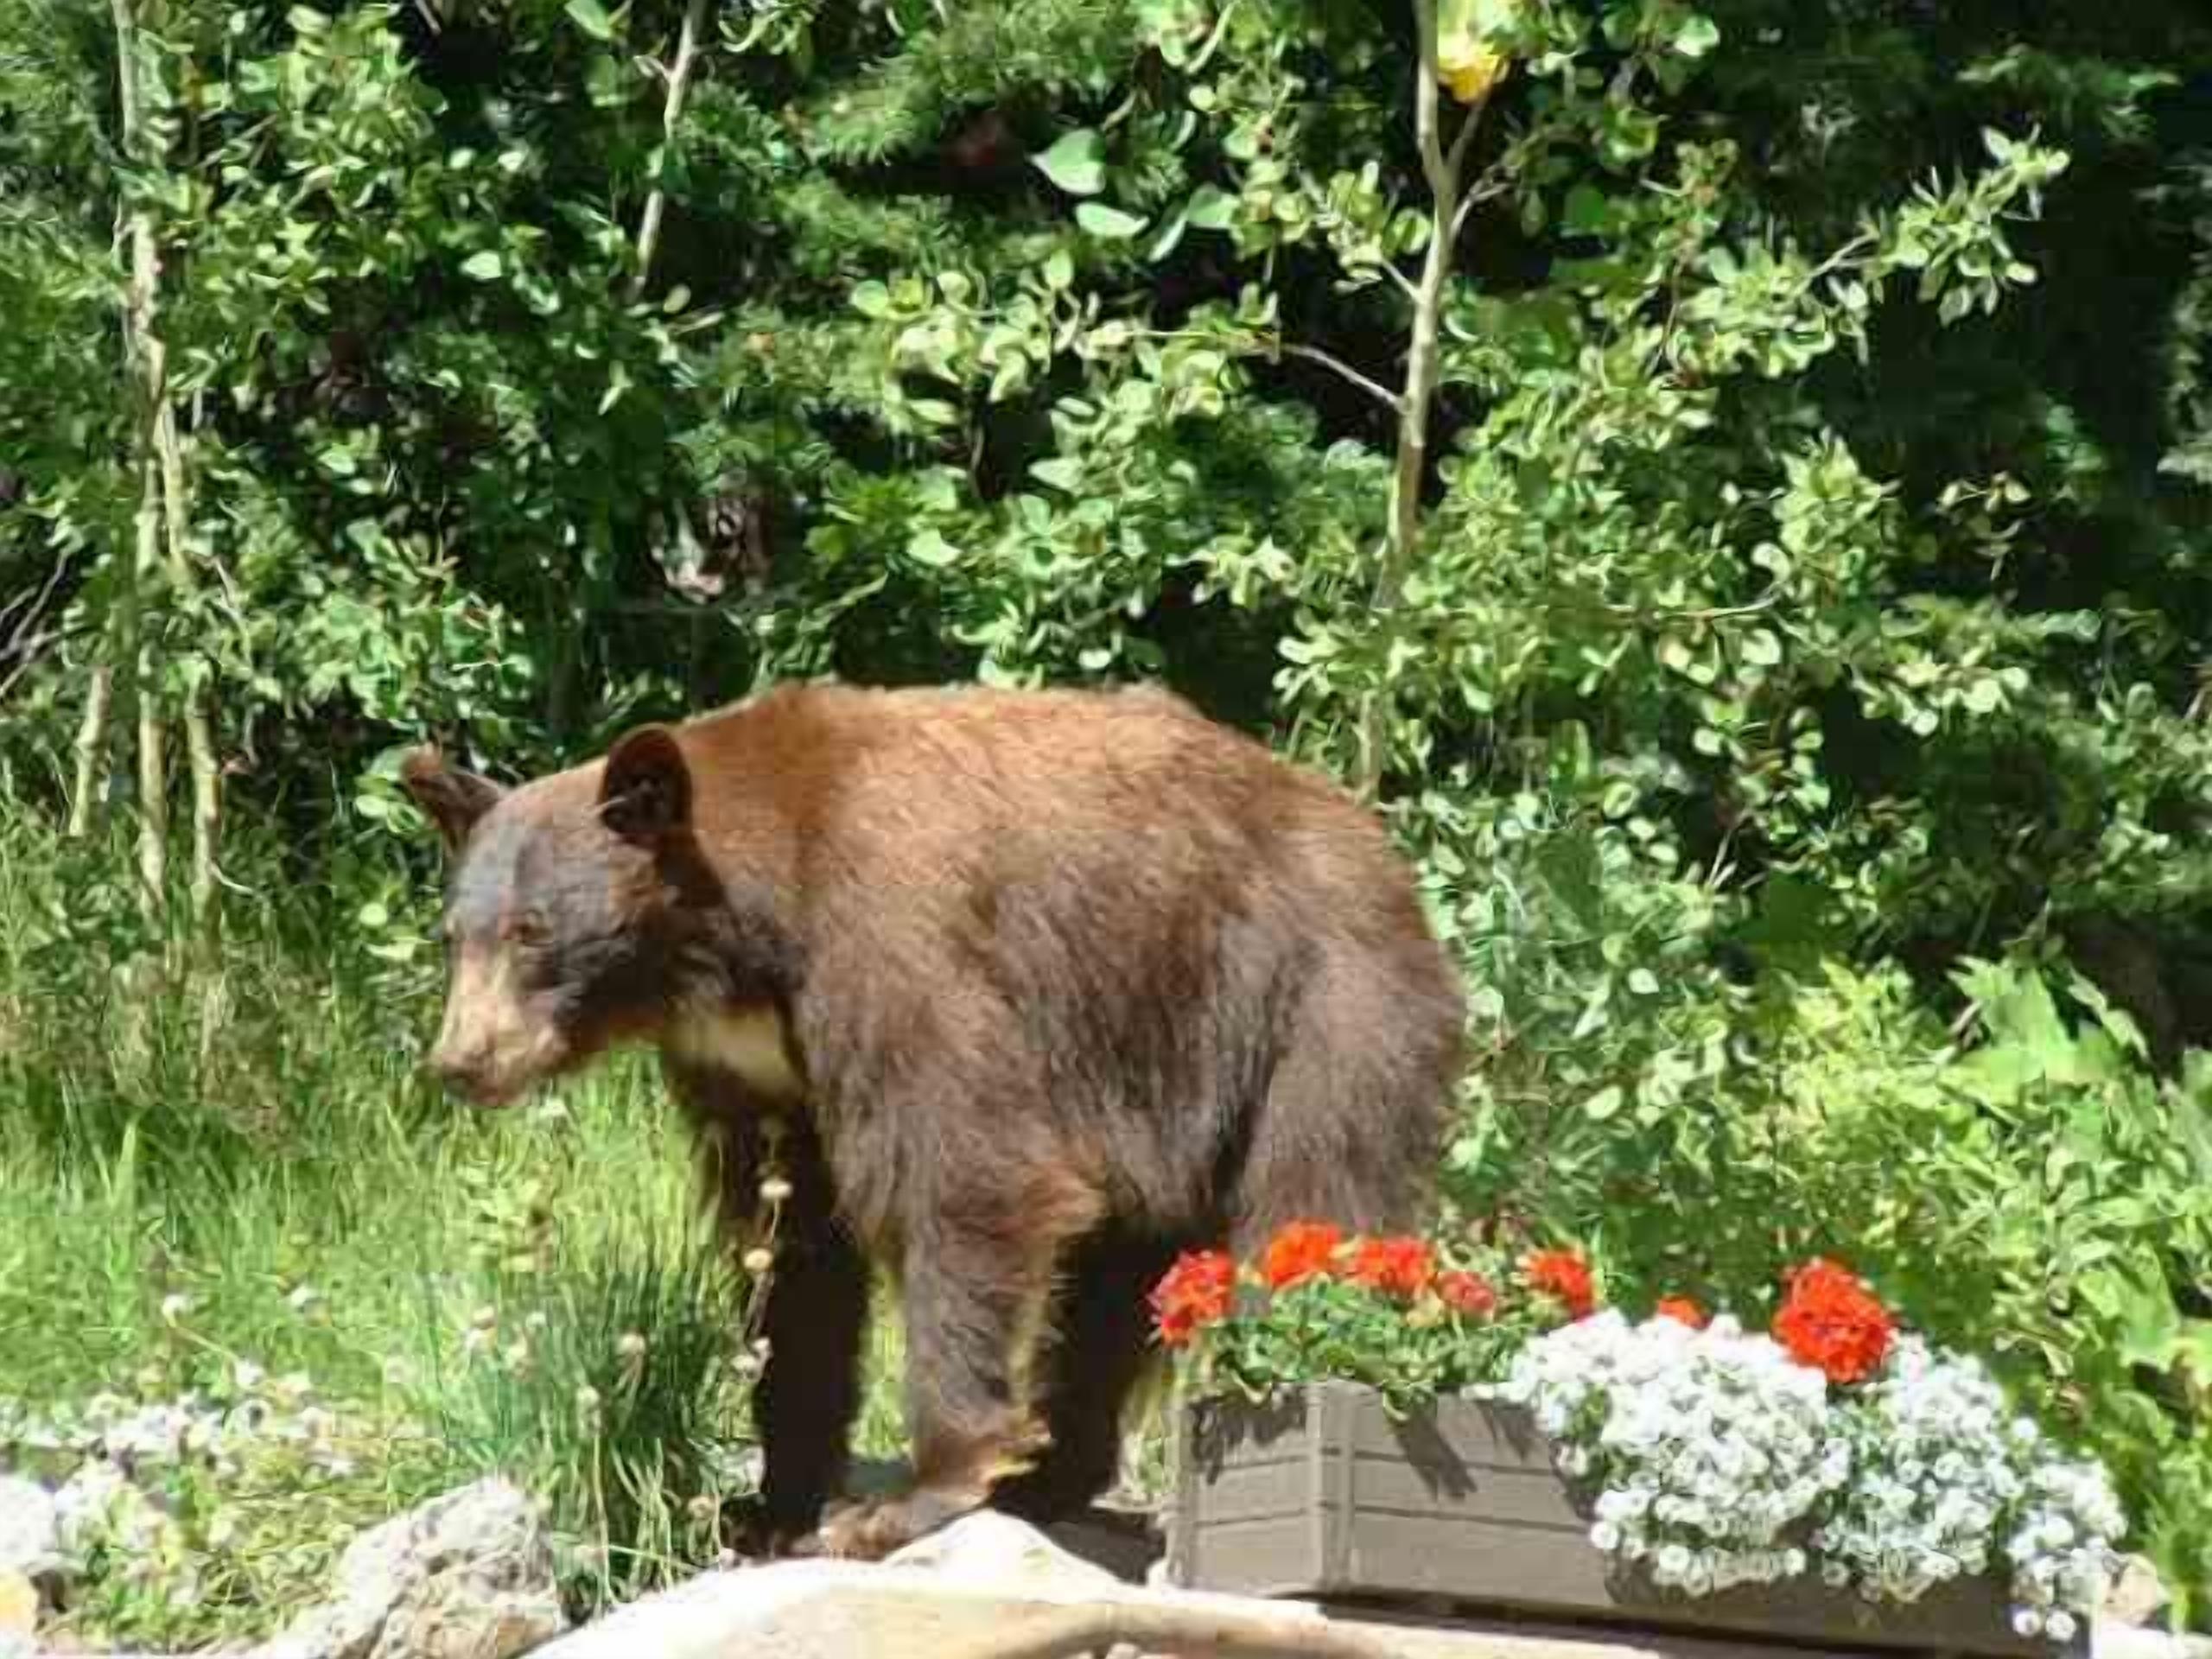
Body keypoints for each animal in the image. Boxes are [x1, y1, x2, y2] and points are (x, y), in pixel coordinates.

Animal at [400, 680, 1465, 1560]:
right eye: (458, 934)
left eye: (534, 932)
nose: (462, 1060)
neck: (742, 937)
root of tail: (1379, 845)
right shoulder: (752, 1074)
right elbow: (791, 1251)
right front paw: (773, 1503)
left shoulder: (894, 946)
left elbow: (962, 1175)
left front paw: (913, 1494)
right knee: (1115, 1286)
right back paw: (1053, 1474)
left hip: (1313, 1007)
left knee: (1312, 1201)